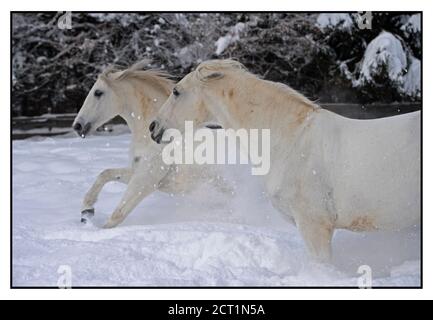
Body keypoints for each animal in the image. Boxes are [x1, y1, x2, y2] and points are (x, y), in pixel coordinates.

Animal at [71, 60, 226, 228]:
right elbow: (105, 174)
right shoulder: (138, 172)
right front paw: (86, 211)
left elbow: (117, 215)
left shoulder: (146, 181)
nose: (77, 126)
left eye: (98, 92)